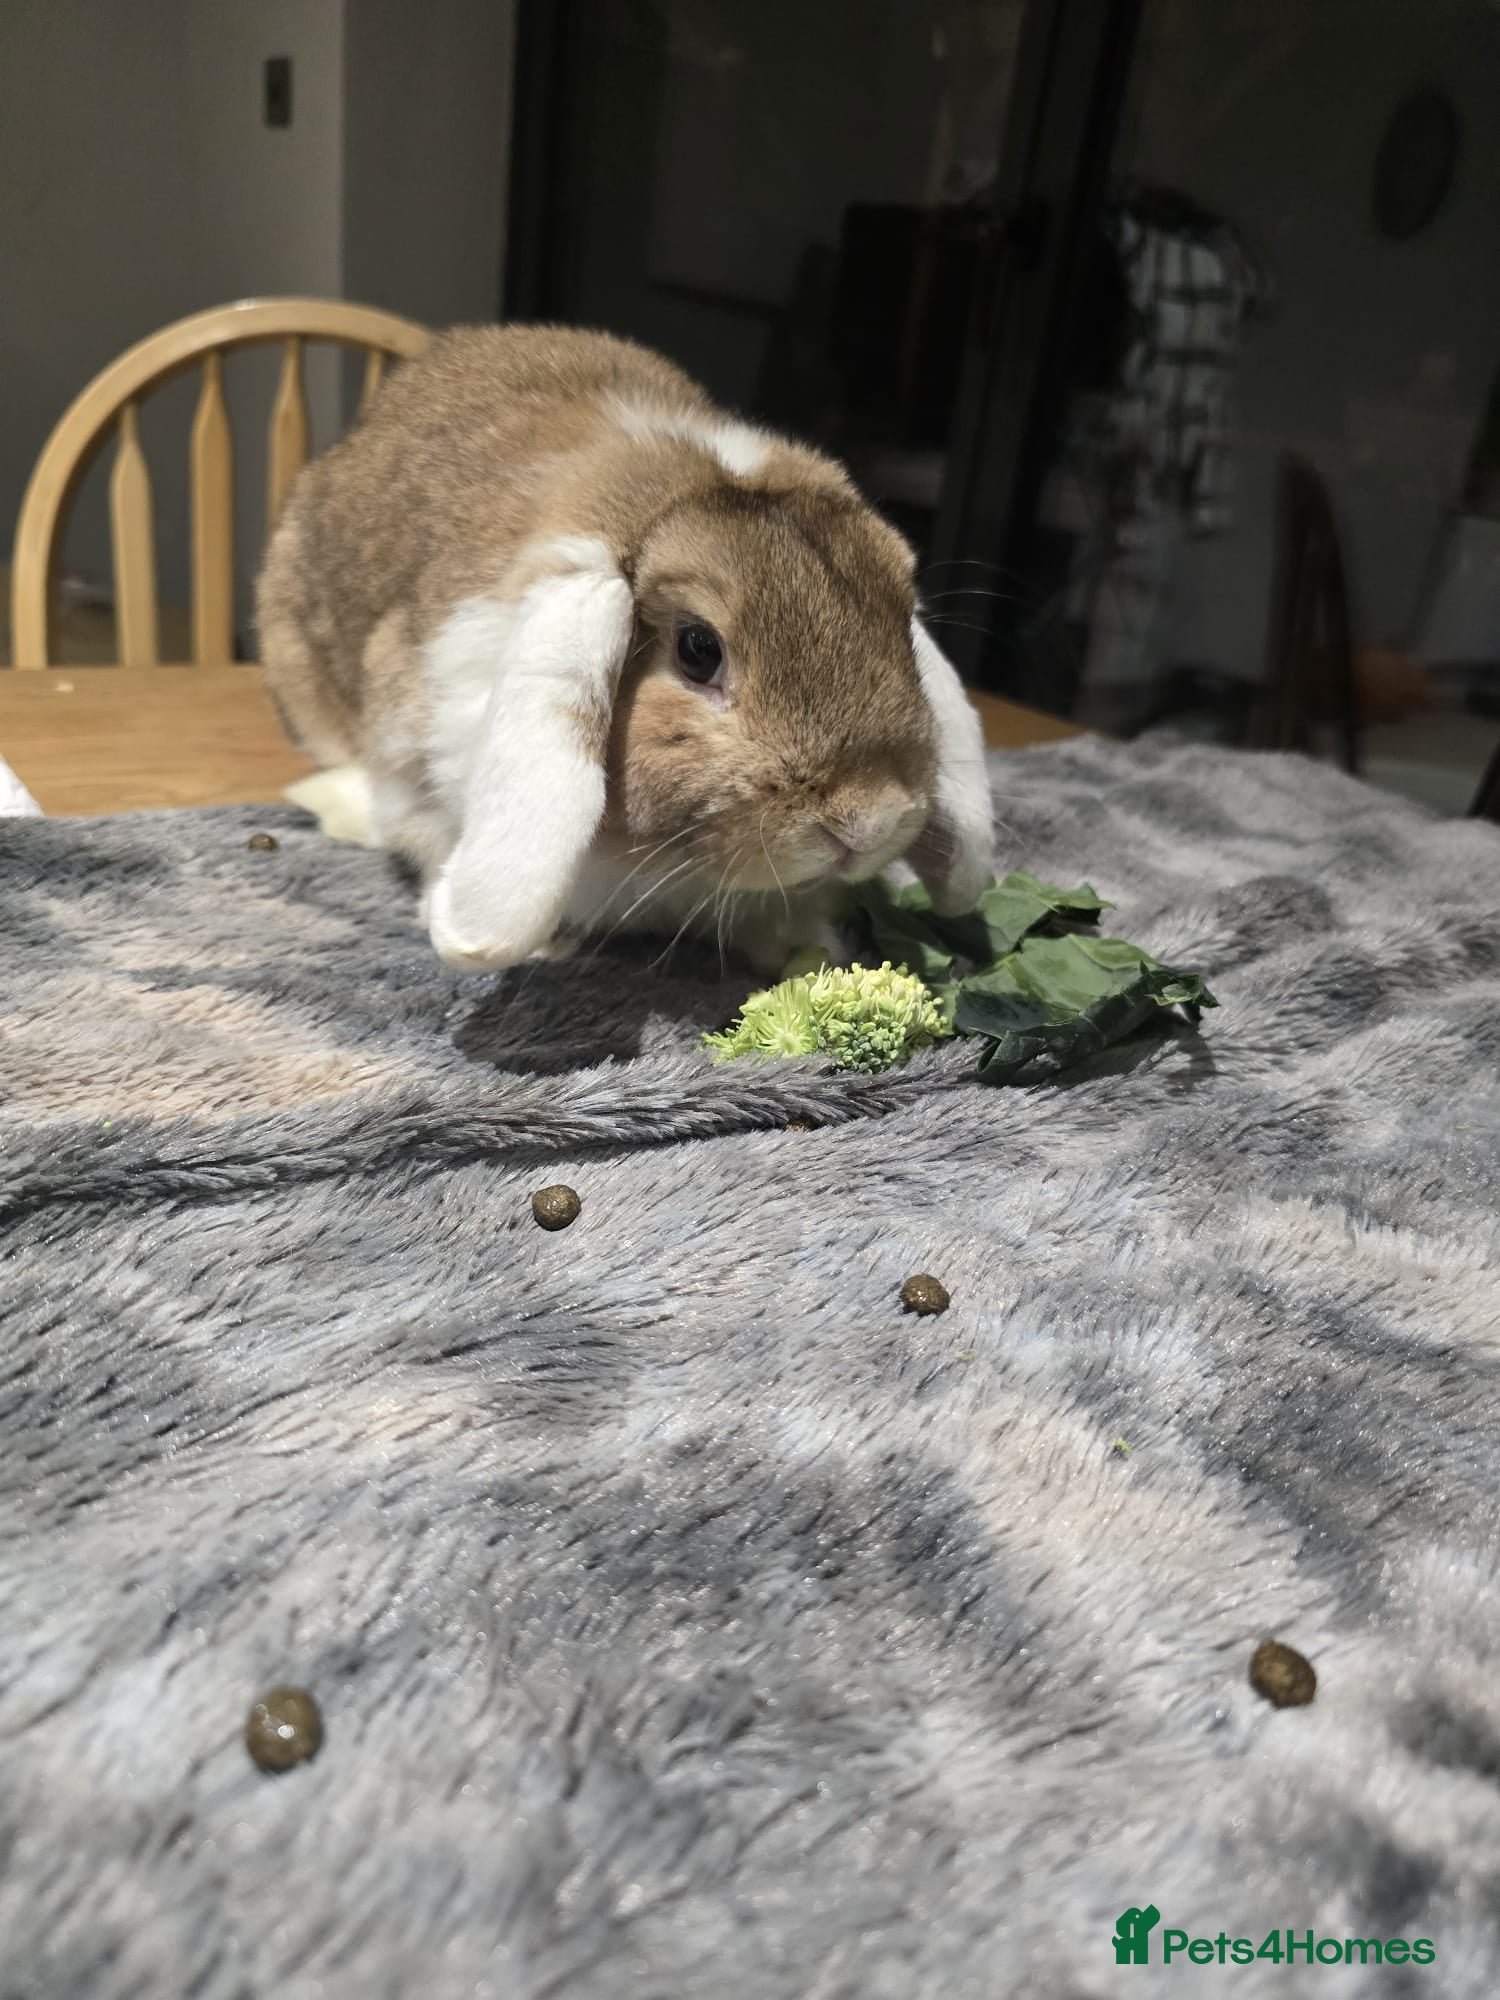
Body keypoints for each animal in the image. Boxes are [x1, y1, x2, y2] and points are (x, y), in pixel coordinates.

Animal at [257, 324, 994, 977]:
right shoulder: (412, 759)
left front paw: (807, 951)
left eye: (901, 617)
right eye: (698, 650)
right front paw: (545, 945)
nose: (869, 822)